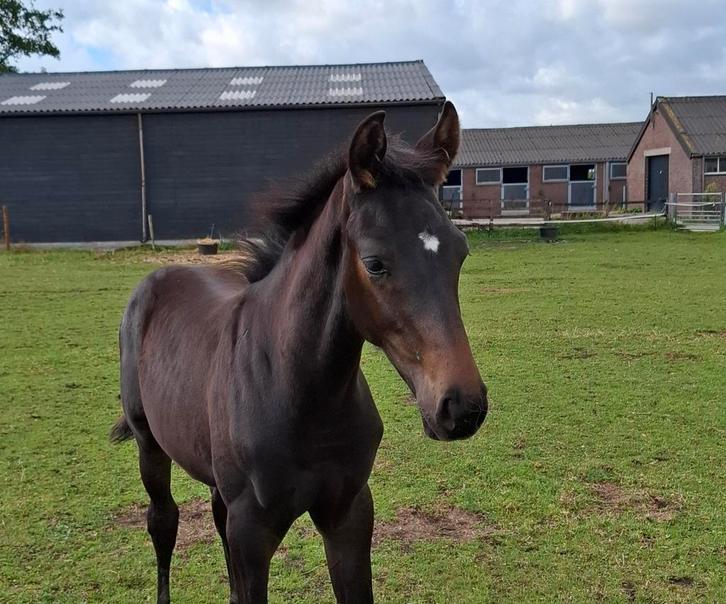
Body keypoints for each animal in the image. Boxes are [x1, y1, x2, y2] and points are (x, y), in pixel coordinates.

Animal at [111, 101, 488, 603]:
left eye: (460, 253)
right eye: (374, 263)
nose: (462, 406)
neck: (300, 391)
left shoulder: (348, 514)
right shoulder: (252, 532)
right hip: (150, 445)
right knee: (163, 522)